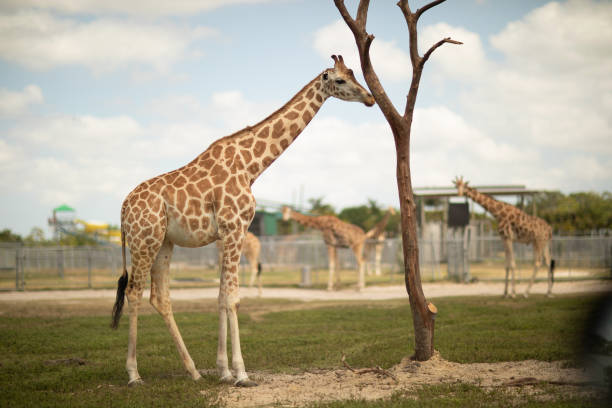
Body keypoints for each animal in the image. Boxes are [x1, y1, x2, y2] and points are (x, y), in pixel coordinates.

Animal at [110, 54, 376, 386]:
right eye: (340, 80)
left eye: (354, 73)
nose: (370, 98)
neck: (251, 166)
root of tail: (123, 209)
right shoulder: (234, 227)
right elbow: (233, 298)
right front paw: (241, 373)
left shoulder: (226, 234)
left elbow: (221, 296)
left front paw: (223, 370)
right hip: (143, 240)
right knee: (133, 292)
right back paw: (134, 374)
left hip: (163, 242)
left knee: (160, 298)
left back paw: (193, 370)